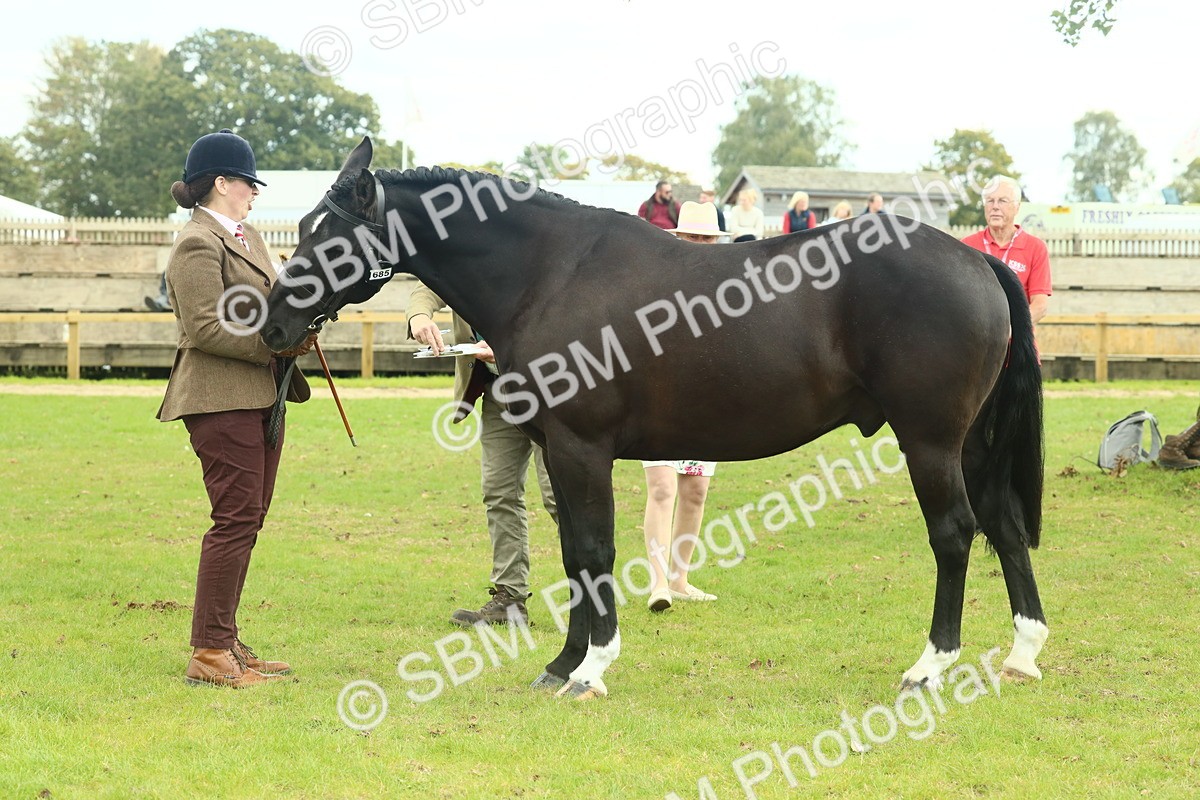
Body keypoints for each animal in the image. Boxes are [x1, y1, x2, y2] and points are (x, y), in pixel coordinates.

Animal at [263, 137, 1049, 700]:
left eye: (332, 238)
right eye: (301, 227)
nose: (271, 324)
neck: (550, 275)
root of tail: (976, 261)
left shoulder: (581, 449)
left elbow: (595, 551)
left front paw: (590, 670)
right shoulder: (559, 452)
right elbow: (575, 555)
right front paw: (560, 665)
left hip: (930, 443)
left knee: (954, 536)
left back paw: (928, 667)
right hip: (972, 445)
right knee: (1005, 527)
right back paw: (1022, 654)